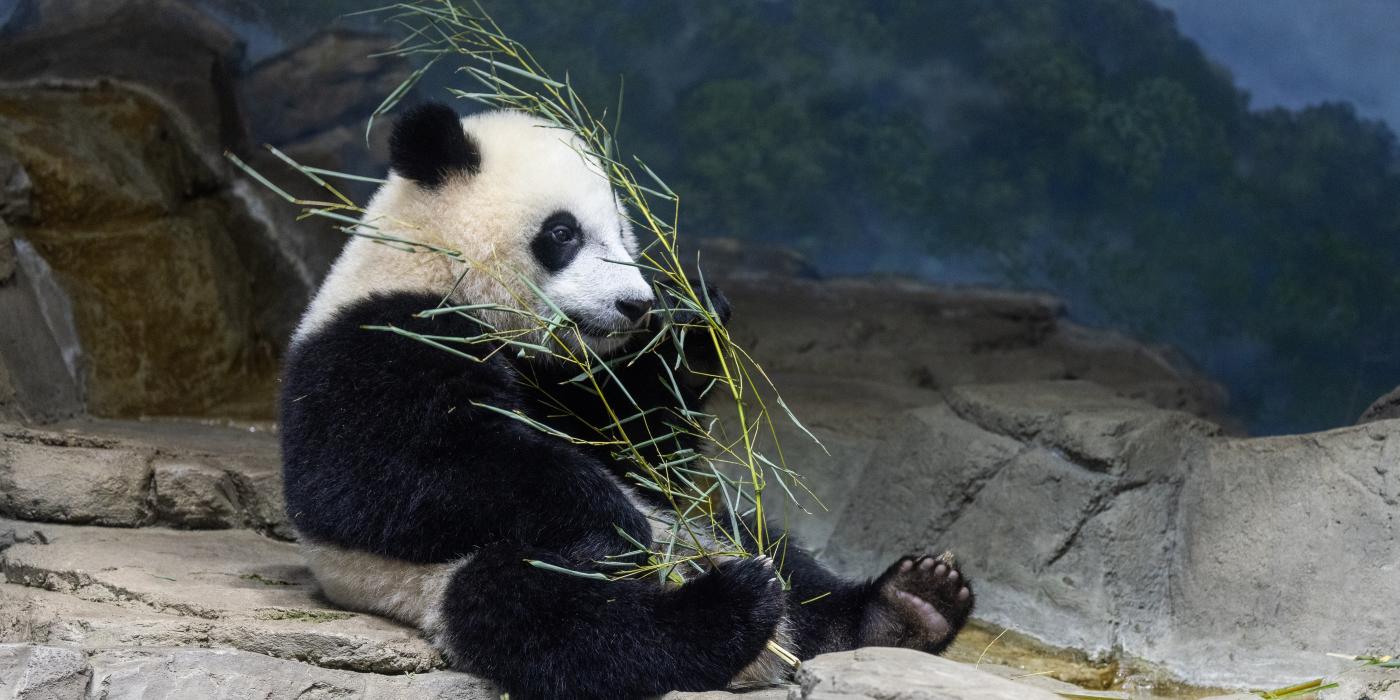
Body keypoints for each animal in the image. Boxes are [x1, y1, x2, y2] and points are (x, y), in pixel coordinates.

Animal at [280, 101, 980, 697]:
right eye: (563, 232)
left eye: (622, 231)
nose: (634, 304)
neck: (442, 273)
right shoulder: (379, 338)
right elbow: (384, 473)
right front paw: (608, 511)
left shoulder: (571, 377)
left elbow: (644, 439)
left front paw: (693, 322)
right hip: (437, 579)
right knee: (550, 610)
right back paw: (727, 605)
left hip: (706, 521)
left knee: (771, 547)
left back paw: (908, 604)